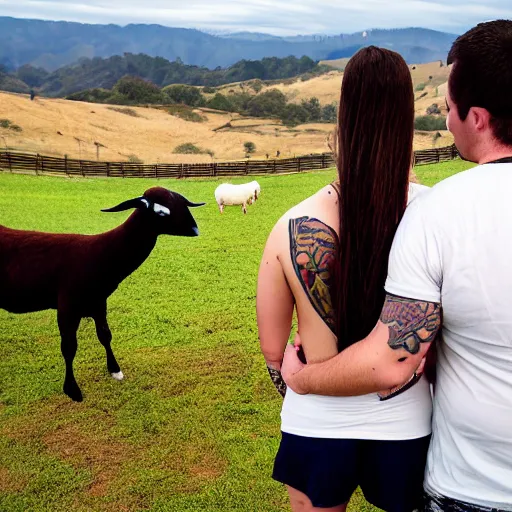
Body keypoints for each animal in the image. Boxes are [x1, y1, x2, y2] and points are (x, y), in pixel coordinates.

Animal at [0, 186, 204, 402]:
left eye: (181, 204)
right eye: (161, 212)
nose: (195, 230)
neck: (100, 255)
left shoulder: (98, 302)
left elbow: (105, 335)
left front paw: (115, 370)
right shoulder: (67, 306)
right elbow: (69, 347)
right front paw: (72, 389)